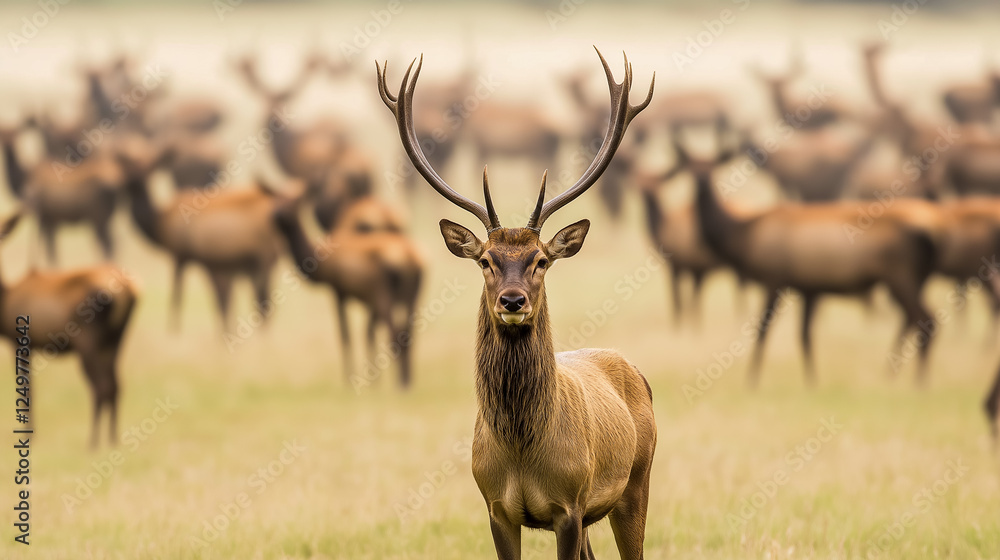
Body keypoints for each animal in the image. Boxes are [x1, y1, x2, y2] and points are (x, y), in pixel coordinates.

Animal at [0, 212, 138, 448]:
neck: (5, 298)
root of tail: (126, 290)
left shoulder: (19, 343)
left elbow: (27, 389)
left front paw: (29, 437)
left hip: (87, 342)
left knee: (100, 387)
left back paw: (92, 442)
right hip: (116, 339)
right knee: (115, 386)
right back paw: (112, 439)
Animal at [116, 136, 283, 332]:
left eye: (150, 167)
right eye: (128, 165)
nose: (129, 182)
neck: (158, 221)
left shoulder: (182, 257)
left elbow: (179, 298)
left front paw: (174, 332)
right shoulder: (220, 266)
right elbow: (224, 303)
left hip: (263, 259)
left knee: (263, 303)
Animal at [377, 49, 657, 560]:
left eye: (541, 260)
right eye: (486, 260)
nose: (512, 299)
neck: (522, 453)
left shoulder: (569, 505)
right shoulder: (496, 507)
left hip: (635, 483)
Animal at [680, 129, 938, 385]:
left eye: (712, 167)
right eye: (689, 167)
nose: (700, 184)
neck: (743, 235)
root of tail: (927, 236)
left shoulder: (774, 280)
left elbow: (763, 331)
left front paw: (752, 379)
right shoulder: (809, 289)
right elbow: (804, 336)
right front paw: (812, 379)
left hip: (900, 276)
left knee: (926, 321)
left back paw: (919, 381)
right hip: (911, 280)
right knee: (915, 321)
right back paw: (896, 374)